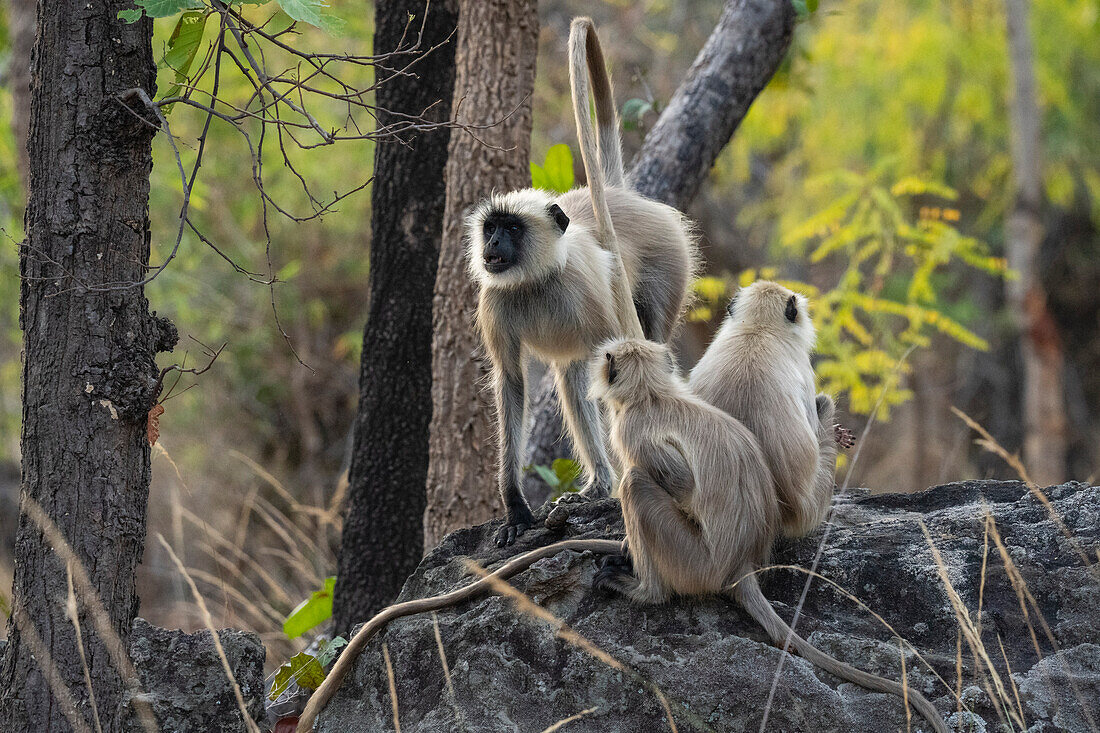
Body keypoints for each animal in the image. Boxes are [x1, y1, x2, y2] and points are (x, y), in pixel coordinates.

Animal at [466, 17, 690, 545]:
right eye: (492, 227)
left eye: (512, 229)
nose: (493, 245)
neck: (536, 278)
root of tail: (620, 196)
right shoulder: (494, 299)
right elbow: (511, 382)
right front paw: (514, 508)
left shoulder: (582, 292)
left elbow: (624, 370)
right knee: (572, 378)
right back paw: (597, 487)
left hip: (668, 264)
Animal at [589, 338, 950, 730]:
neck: (653, 395)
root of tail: (741, 565)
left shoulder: (630, 429)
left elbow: (683, 487)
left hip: (692, 560)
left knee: (636, 482)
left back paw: (645, 591)